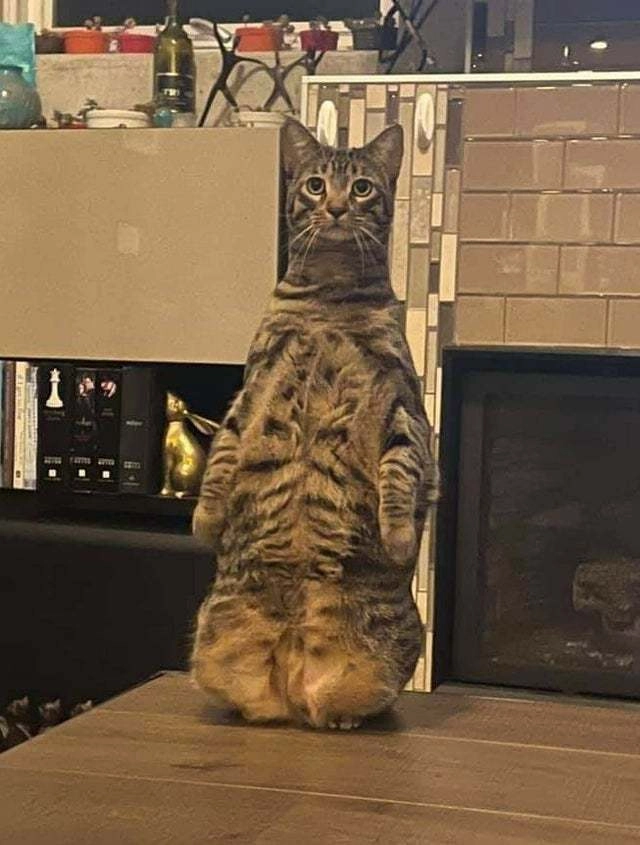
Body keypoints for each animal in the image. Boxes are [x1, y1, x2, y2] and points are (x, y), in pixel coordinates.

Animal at [190, 119, 438, 730]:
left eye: (364, 188)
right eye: (315, 184)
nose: (336, 207)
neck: (328, 300)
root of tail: (292, 681)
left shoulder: (402, 407)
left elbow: (400, 475)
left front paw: (399, 537)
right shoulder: (248, 395)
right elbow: (219, 463)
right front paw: (206, 522)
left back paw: (341, 716)